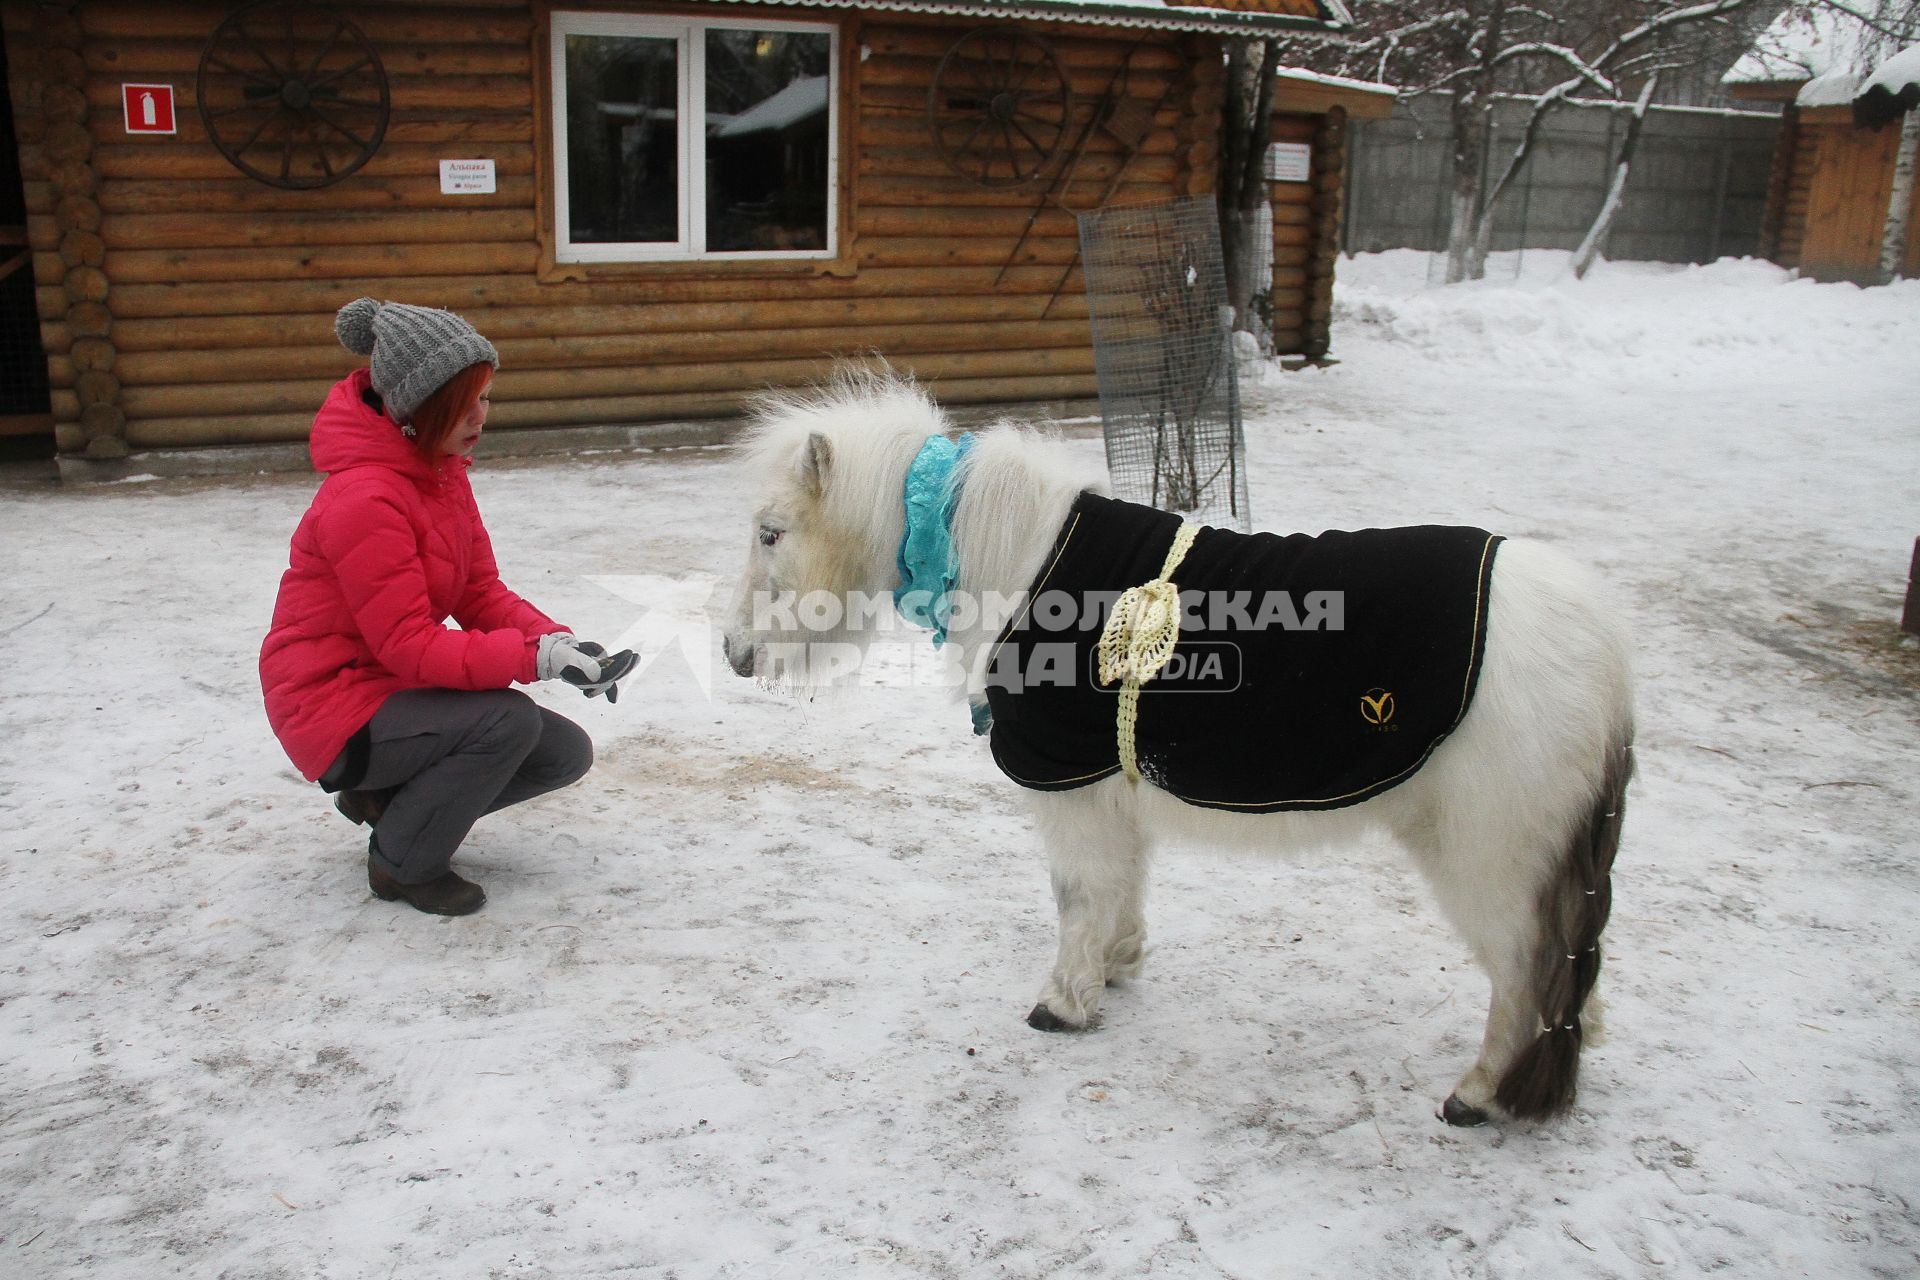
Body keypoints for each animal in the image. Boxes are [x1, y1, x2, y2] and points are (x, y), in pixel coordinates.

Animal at [721, 364, 1635, 1128]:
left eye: (770, 532)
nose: (735, 656)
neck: (1023, 565)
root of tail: (1601, 648)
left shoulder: (1072, 794)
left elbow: (1078, 895)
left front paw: (1063, 1004)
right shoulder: (1110, 786)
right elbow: (1121, 888)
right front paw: (1117, 967)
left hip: (1488, 862)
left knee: (1523, 970)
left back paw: (1478, 1096)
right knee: (1568, 969)